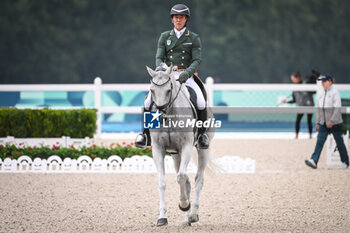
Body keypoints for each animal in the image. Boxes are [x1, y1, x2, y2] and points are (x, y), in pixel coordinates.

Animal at [144, 64, 213, 227]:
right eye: (151, 90)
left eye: (169, 90)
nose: (160, 116)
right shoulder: (158, 149)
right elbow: (162, 182)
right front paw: (162, 217)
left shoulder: (186, 146)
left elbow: (181, 177)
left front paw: (184, 205)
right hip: (175, 153)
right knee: (187, 180)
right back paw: (187, 218)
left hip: (202, 149)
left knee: (198, 180)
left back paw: (192, 214)